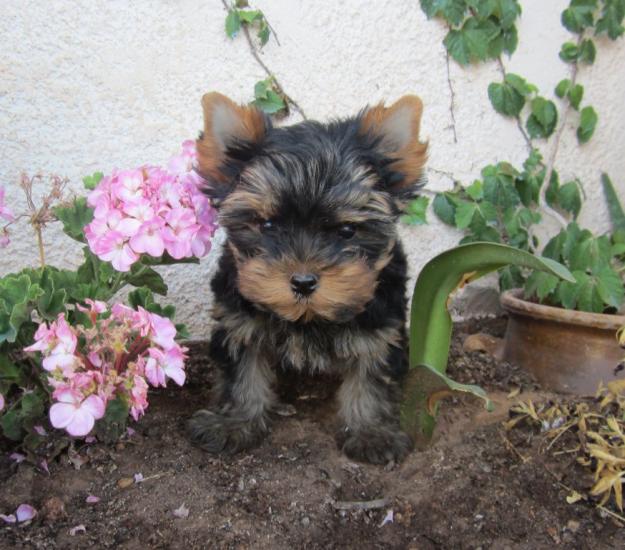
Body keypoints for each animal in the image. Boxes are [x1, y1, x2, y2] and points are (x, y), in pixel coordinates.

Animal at [185, 92, 426, 464]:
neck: (308, 320)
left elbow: (372, 374)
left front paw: (371, 432)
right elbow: (242, 370)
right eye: (268, 225)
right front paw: (234, 422)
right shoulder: (238, 321)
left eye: (347, 231)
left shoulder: (380, 328)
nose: (303, 282)